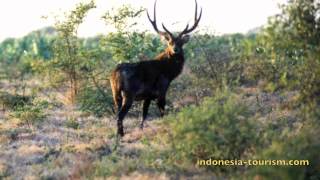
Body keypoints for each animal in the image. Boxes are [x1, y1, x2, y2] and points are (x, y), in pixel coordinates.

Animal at [109, 0, 200, 136]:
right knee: (120, 115)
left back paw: (119, 134)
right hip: (129, 93)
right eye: (170, 42)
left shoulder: (148, 96)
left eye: (180, 42)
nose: (175, 50)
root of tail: (115, 74)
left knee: (117, 113)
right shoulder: (162, 89)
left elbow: (144, 115)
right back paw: (121, 134)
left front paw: (141, 130)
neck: (169, 72)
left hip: (115, 93)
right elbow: (162, 112)